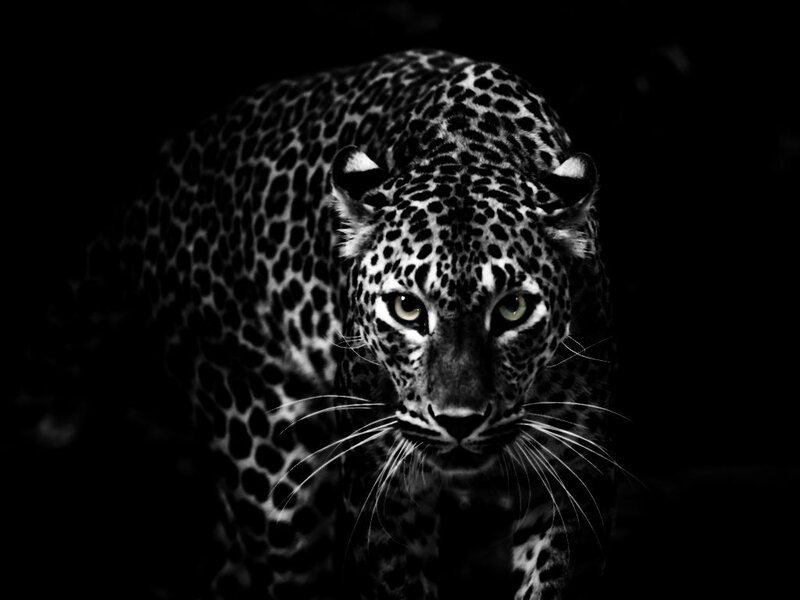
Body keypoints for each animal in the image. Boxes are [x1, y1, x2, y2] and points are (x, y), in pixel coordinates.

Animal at [21, 49, 617, 599]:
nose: (459, 421)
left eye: (512, 309)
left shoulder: (571, 478)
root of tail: (154, 183)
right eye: (407, 309)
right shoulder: (382, 488)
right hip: (266, 459)